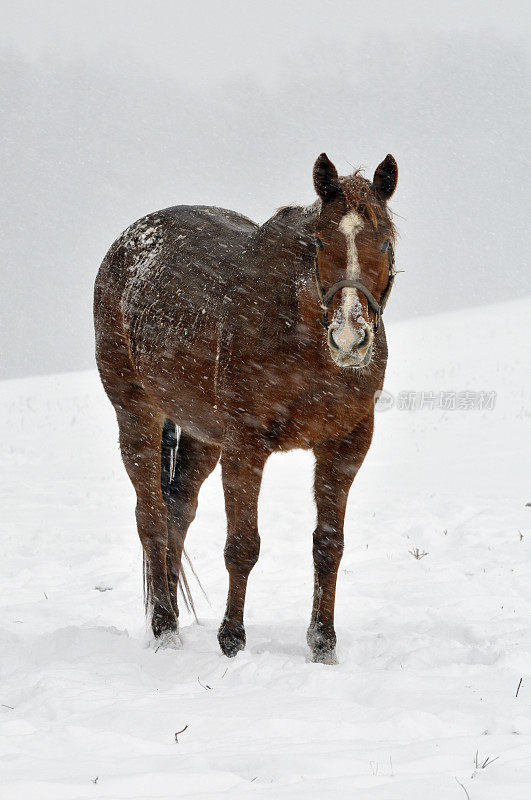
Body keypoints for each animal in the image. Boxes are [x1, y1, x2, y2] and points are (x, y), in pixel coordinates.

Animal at [93, 153, 396, 664]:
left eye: (387, 241)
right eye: (320, 241)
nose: (350, 338)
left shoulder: (345, 448)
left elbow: (328, 545)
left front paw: (323, 643)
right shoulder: (246, 448)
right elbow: (242, 546)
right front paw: (231, 640)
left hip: (200, 433)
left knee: (177, 511)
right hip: (137, 414)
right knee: (150, 516)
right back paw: (165, 627)